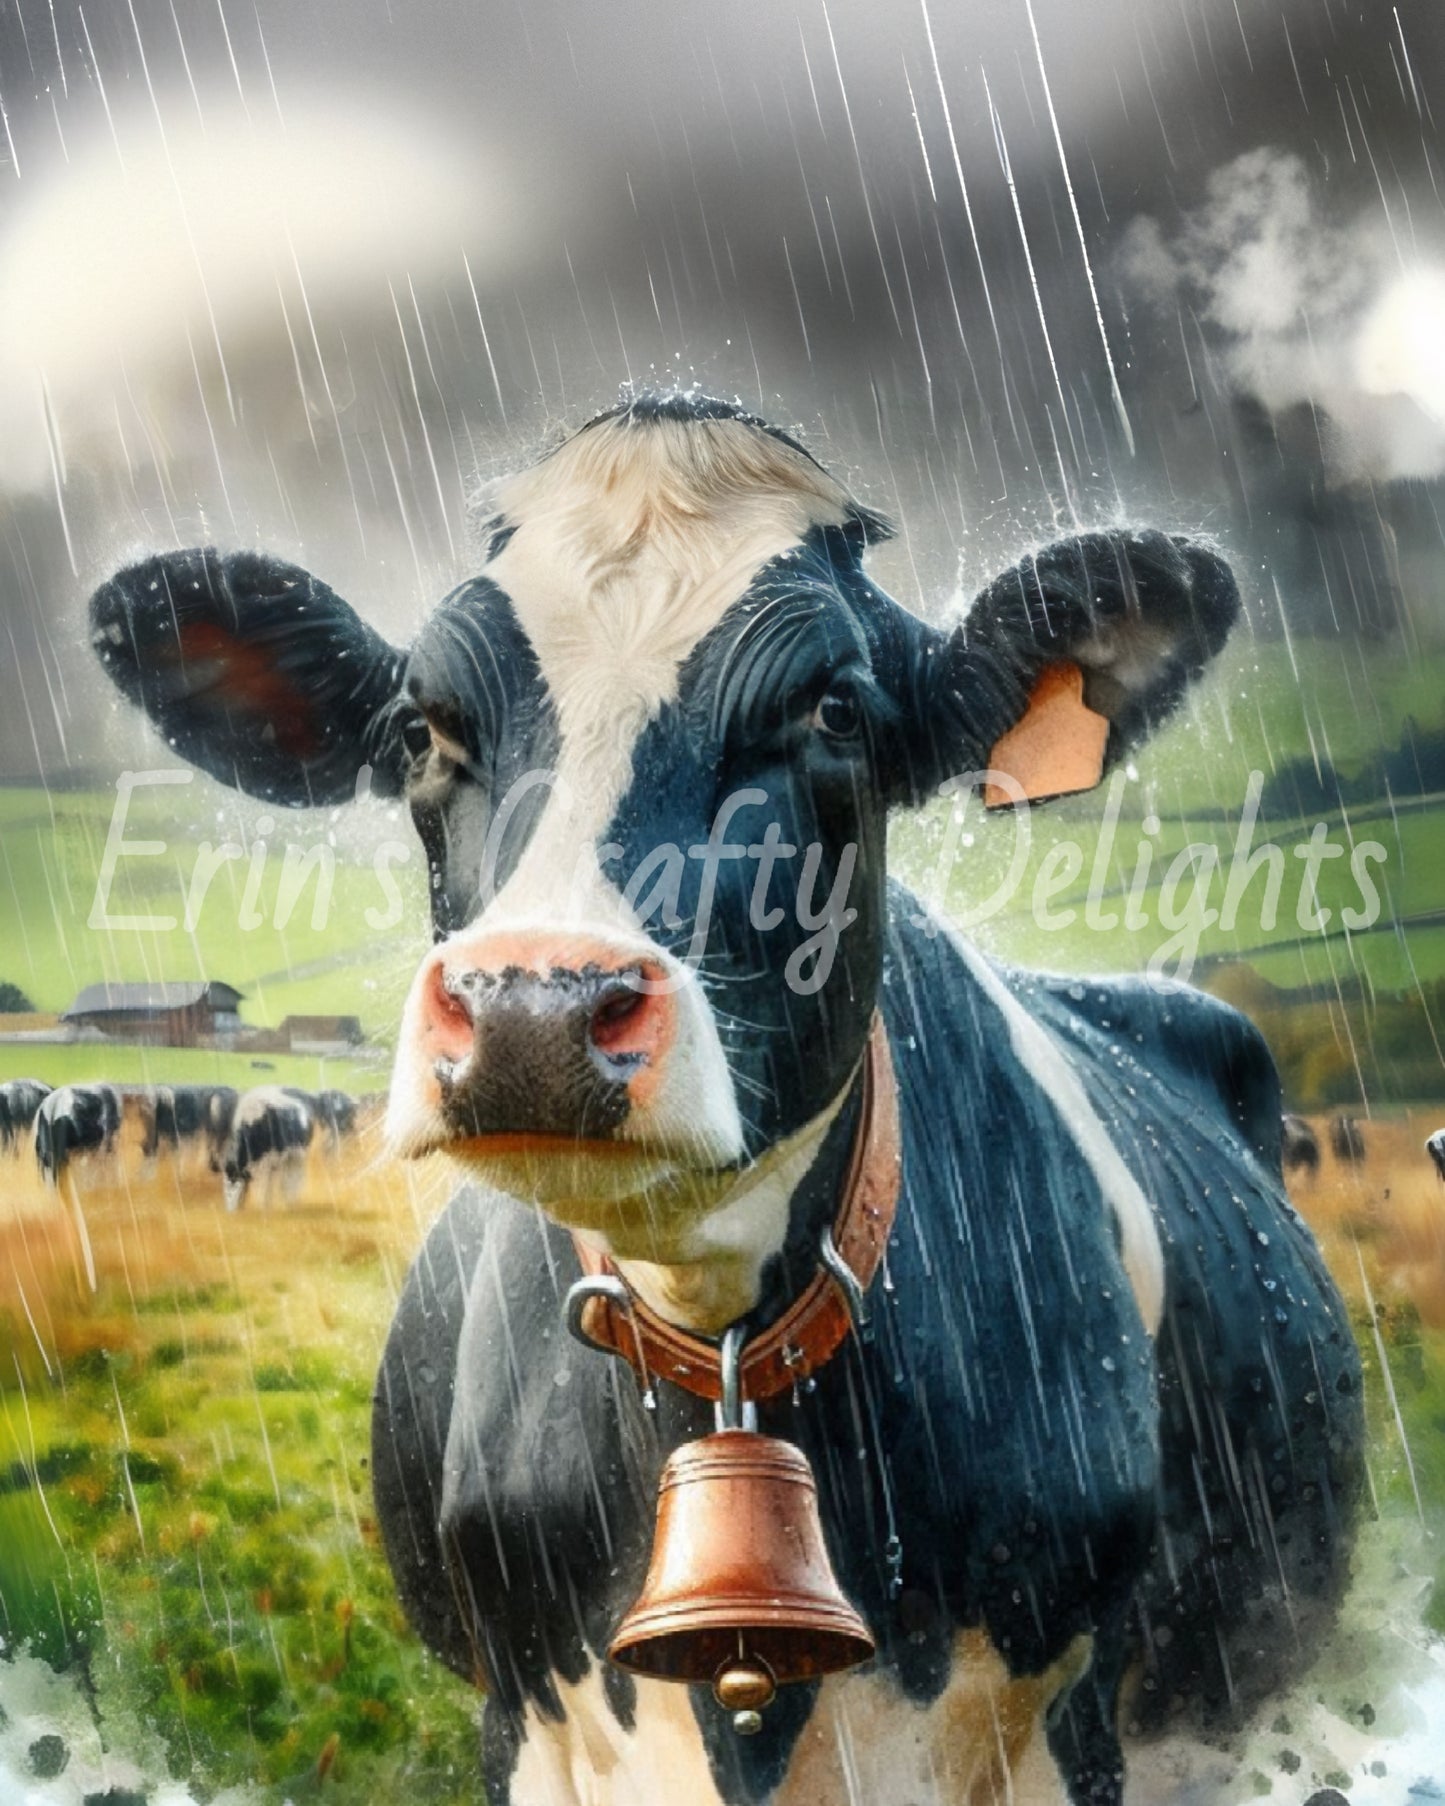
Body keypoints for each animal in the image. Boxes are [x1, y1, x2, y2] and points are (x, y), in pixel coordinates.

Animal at [89, 393, 1364, 1806]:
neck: (713, 1317)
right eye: (420, 727)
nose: (533, 1010)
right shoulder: (525, 1717)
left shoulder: (1066, 1721)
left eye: (835, 712)